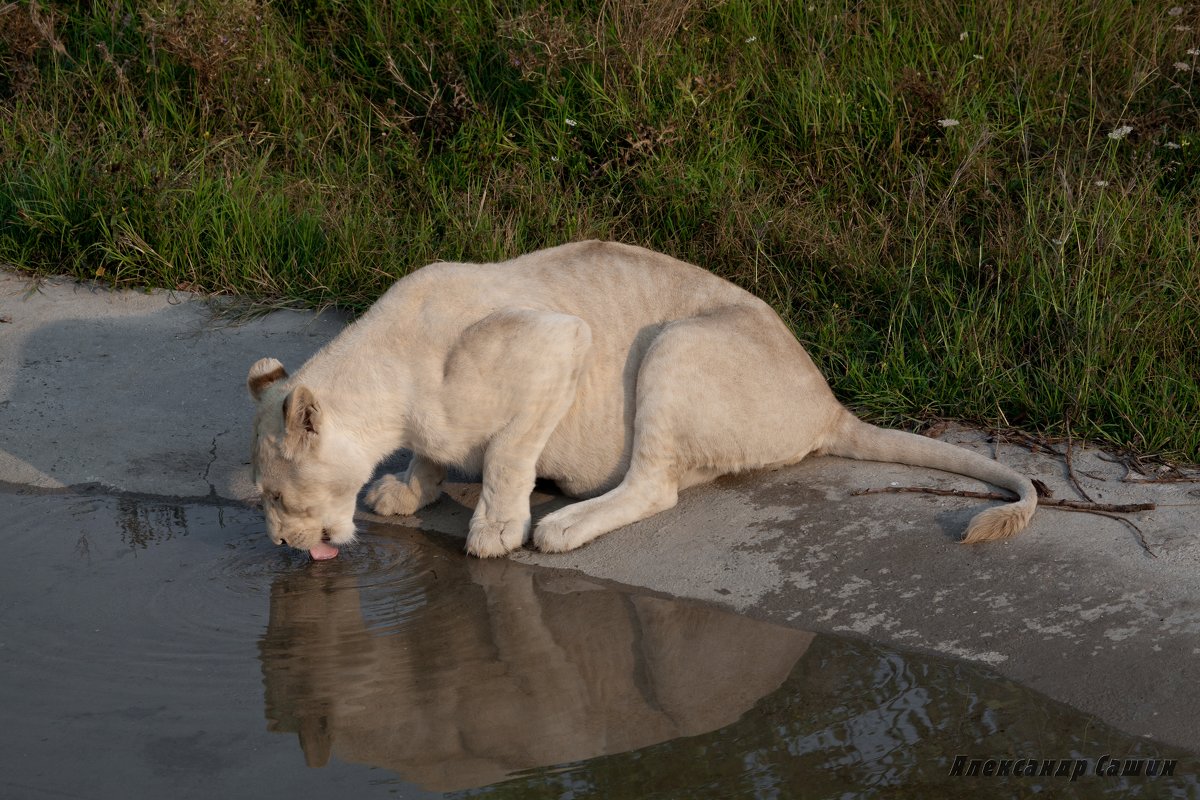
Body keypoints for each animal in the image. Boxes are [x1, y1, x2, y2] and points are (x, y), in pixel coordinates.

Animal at [248, 241, 1036, 561]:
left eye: (279, 499)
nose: (280, 546)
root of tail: (827, 405)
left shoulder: (560, 339)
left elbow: (508, 452)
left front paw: (495, 528)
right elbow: (431, 454)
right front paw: (412, 489)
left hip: (675, 345)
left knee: (656, 487)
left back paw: (563, 524)